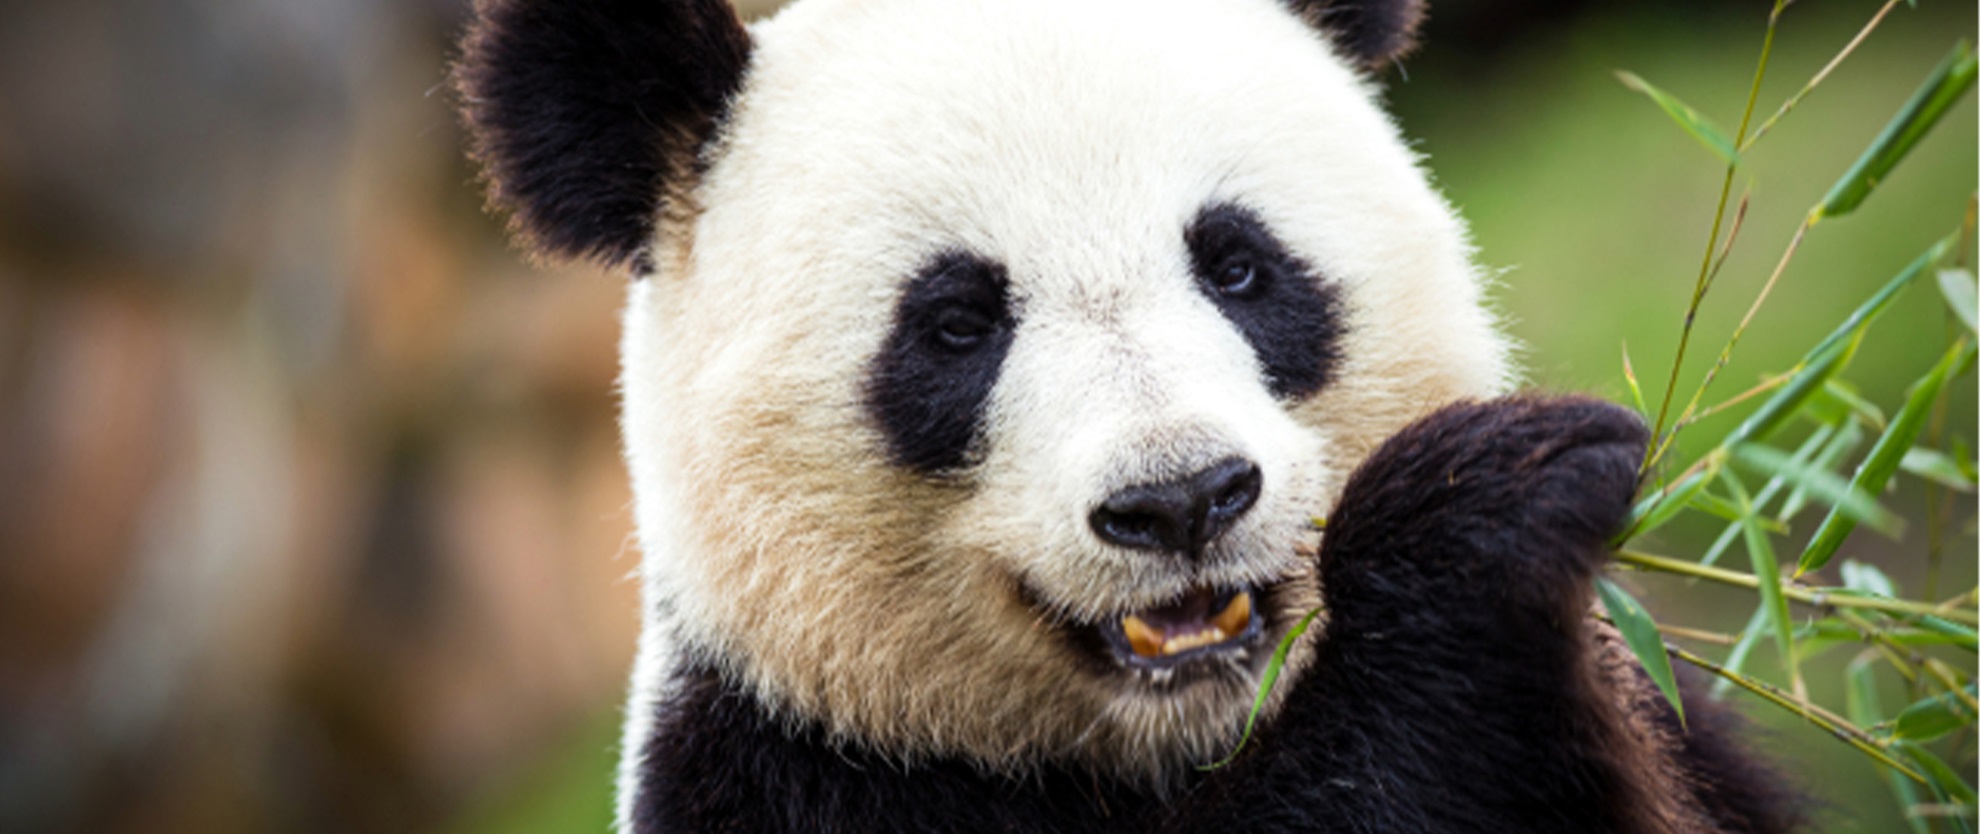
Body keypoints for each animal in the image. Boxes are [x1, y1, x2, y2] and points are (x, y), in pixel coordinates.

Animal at [455, 0, 1801, 831]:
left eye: (1238, 264)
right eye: (957, 325)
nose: (1182, 501)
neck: (1172, 744)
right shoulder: (793, 775)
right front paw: (1479, 520)